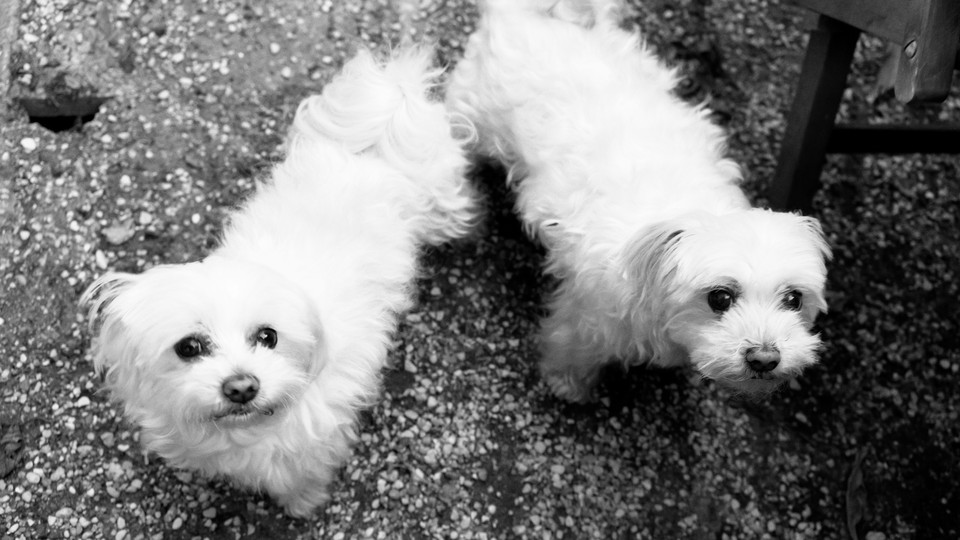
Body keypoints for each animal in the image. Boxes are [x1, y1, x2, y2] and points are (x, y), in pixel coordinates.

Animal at [82, 48, 476, 516]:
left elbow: (302, 478)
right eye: (189, 347)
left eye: (268, 337)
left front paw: (304, 504)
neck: (246, 429)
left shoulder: (315, 439)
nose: (241, 387)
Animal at [446, 0, 828, 400]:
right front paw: (567, 385)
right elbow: (572, 350)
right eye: (720, 297)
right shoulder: (588, 319)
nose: (765, 359)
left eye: (794, 299)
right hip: (475, 117)